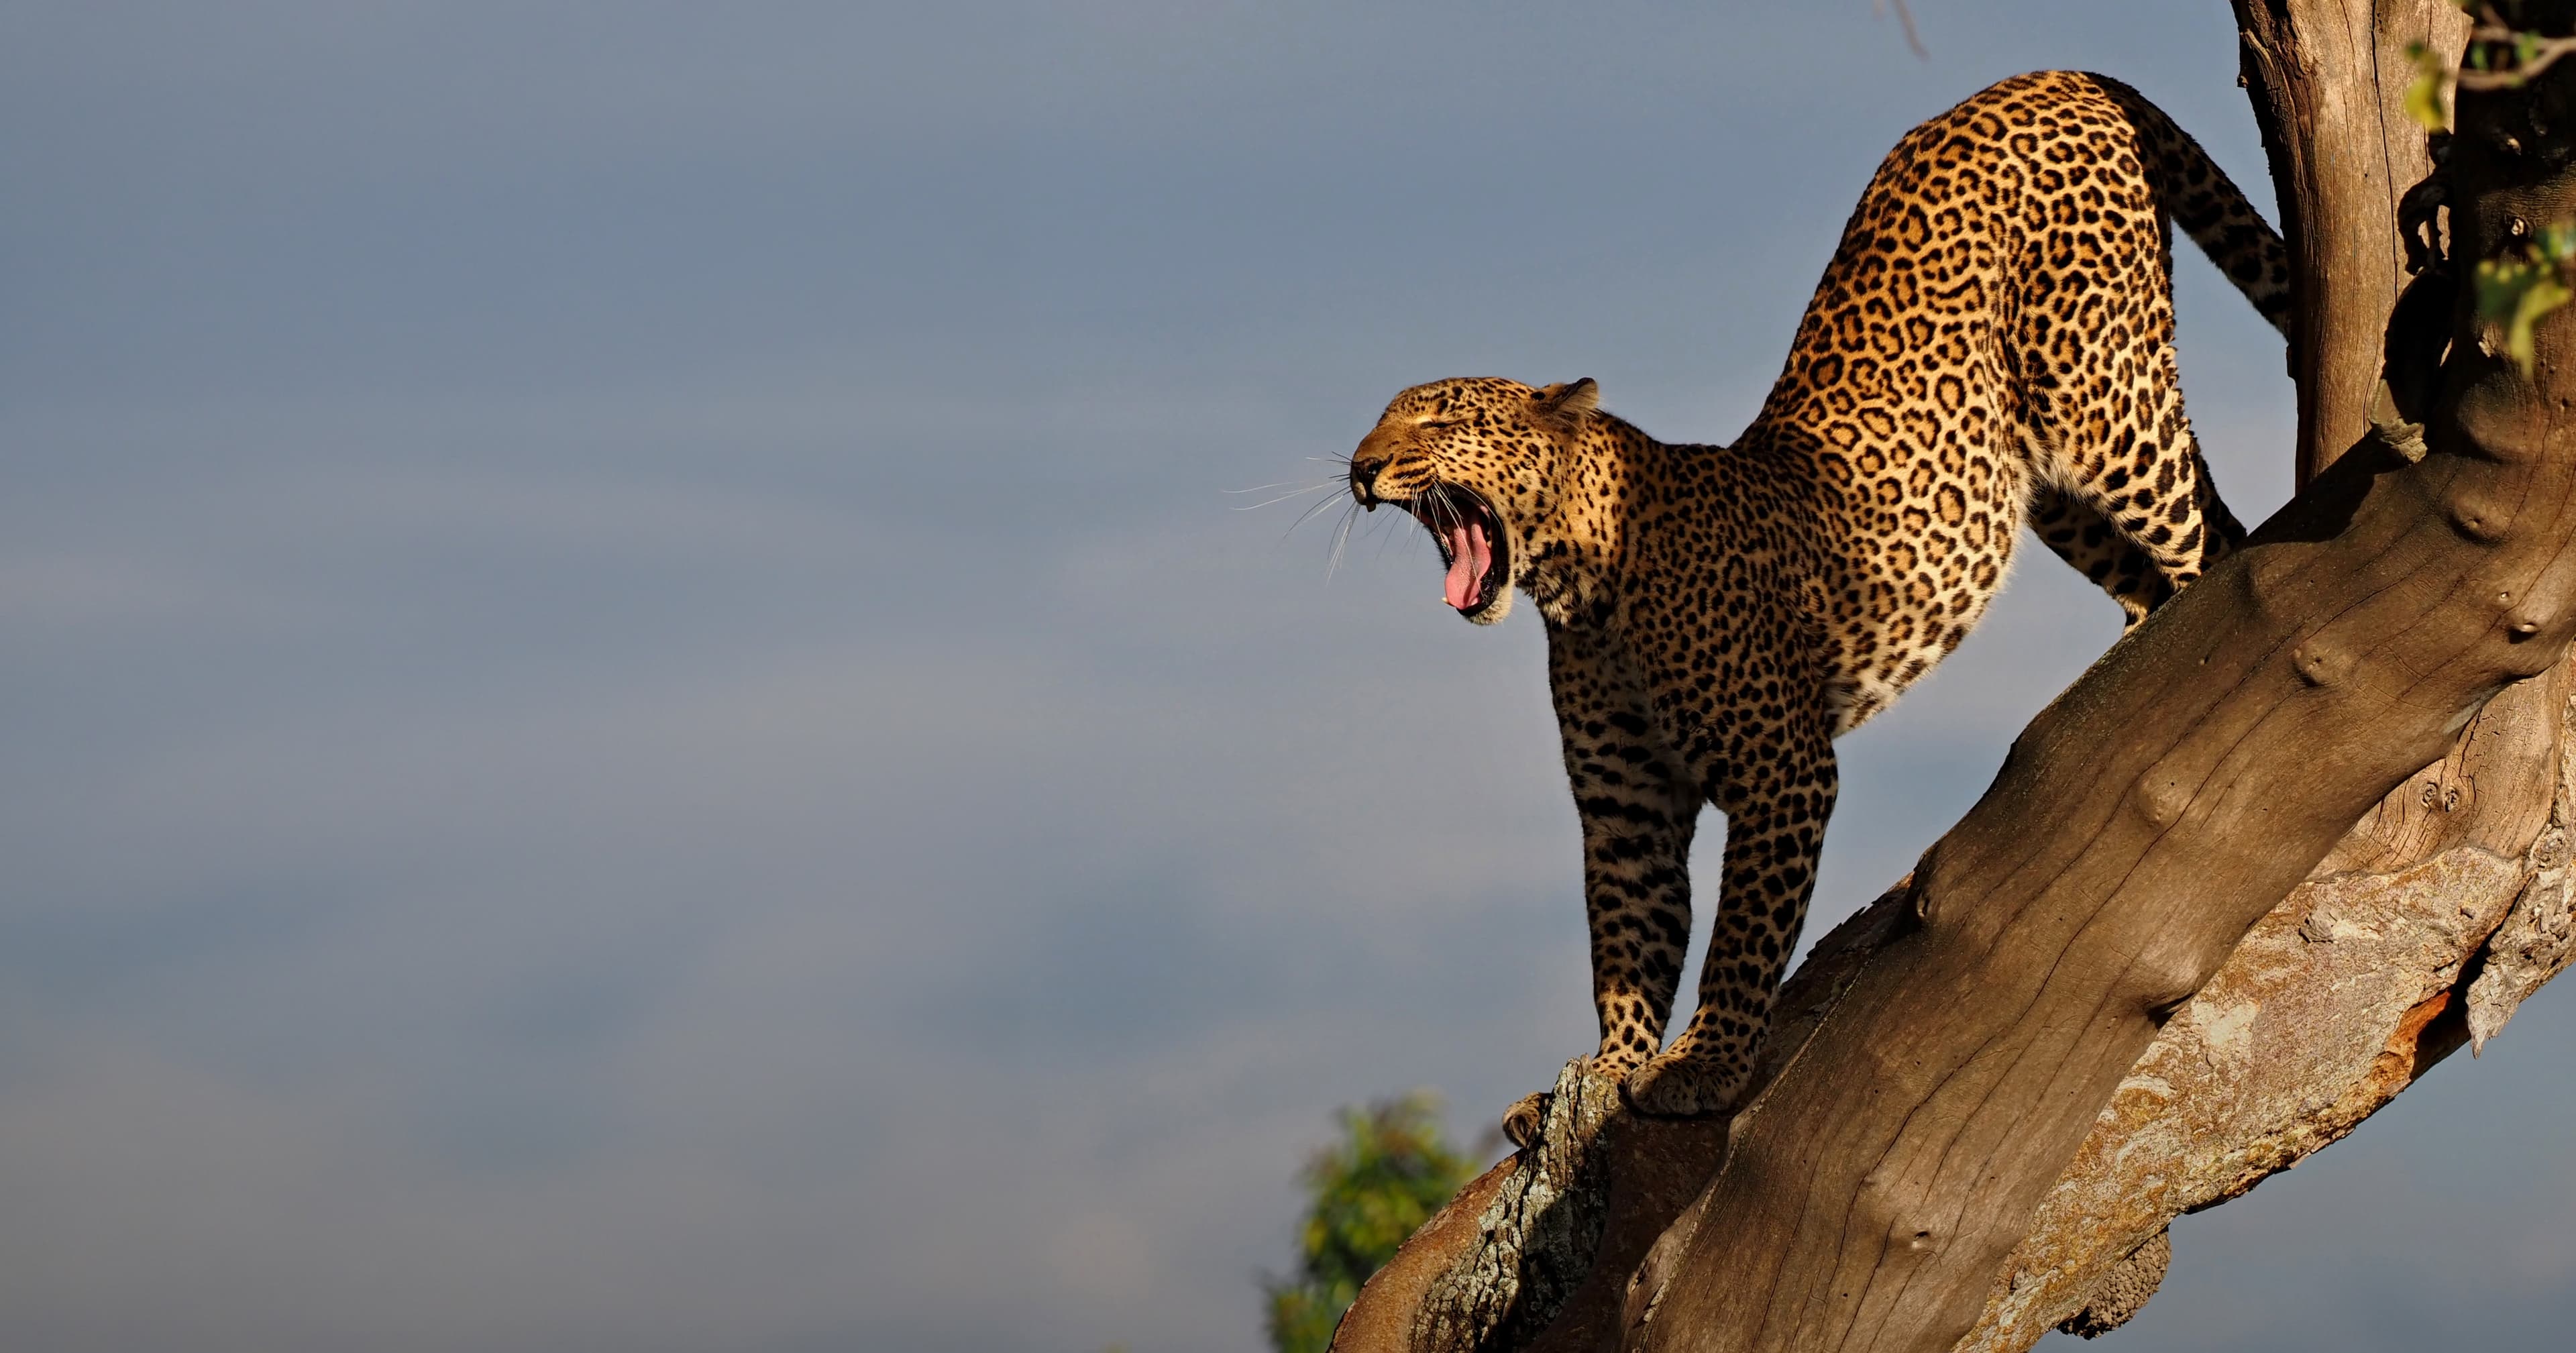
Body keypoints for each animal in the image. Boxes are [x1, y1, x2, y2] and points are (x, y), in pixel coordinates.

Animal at [1339, 71, 2291, 1133]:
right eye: (1382, 421)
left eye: (1439, 419)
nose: (1360, 469)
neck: (1579, 590)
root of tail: (2046, 75)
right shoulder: (1627, 809)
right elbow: (1627, 946)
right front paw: (1601, 1068)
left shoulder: (1781, 769)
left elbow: (1741, 937)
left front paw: (1705, 1063)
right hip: (2044, 482)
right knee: (2176, 555)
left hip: (2099, 398)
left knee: (2208, 540)